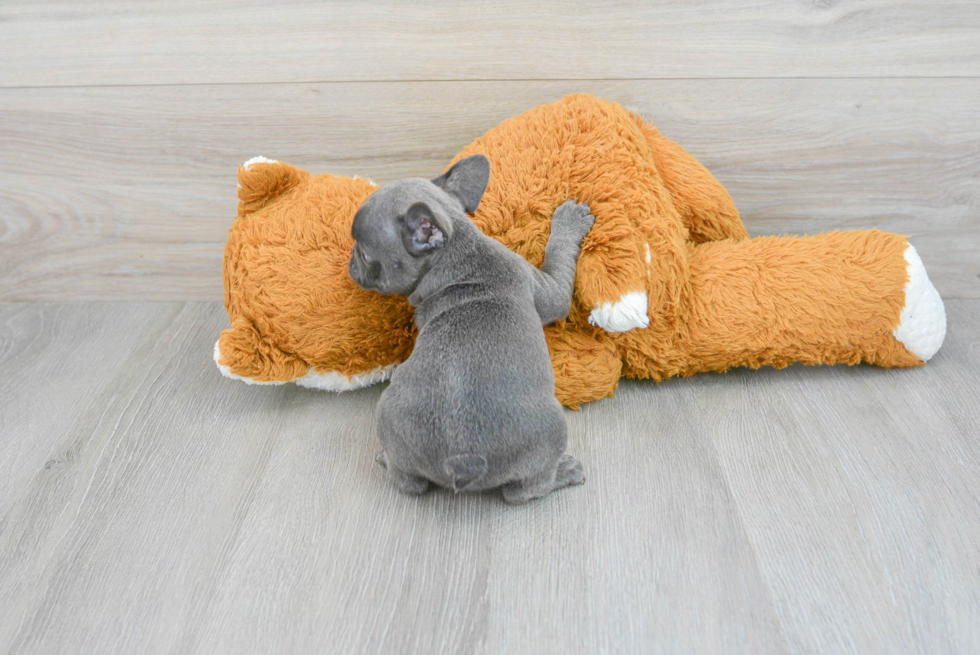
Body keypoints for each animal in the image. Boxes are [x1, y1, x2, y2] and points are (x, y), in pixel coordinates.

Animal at [348, 156, 592, 504]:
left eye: (366, 254)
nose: (350, 261)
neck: (458, 253)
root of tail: (462, 462)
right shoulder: (547, 288)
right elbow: (558, 261)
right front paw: (569, 222)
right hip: (553, 432)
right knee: (522, 491)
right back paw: (563, 472)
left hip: (388, 414)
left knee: (410, 481)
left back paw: (386, 457)